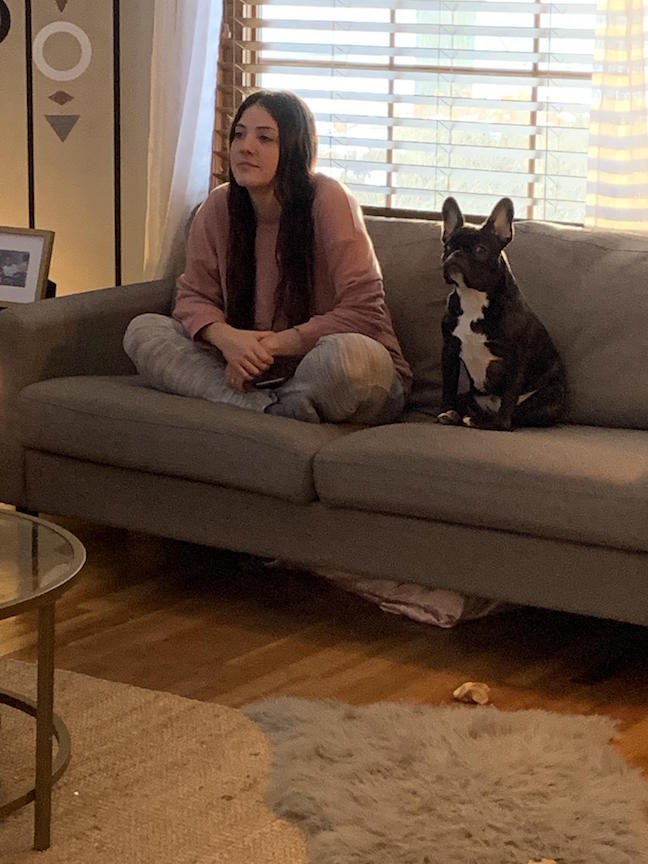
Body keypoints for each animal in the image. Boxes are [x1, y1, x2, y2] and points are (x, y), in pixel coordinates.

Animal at [436, 193, 568, 428]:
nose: (456, 255)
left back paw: (483, 421)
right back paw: (463, 415)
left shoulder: (516, 356)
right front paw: (447, 411)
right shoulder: (449, 350)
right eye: (448, 247)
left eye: (480, 250)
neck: (473, 297)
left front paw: (499, 424)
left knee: (520, 414)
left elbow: (509, 394)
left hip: (549, 397)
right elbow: (449, 386)